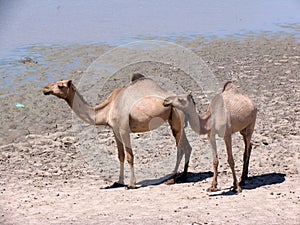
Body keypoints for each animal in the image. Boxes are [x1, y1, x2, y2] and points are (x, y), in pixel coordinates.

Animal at [43, 74, 191, 188]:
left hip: (177, 118)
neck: (108, 108)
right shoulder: (115, 130)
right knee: (187, 146)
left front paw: (131, 184)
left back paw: (172, 179)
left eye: (60, 85)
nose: (45, 88)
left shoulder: (124, 129)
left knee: (180, 148)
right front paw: (119, 181)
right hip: (174, 121)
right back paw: (183, 176)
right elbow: (121, 155)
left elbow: (130, 156)